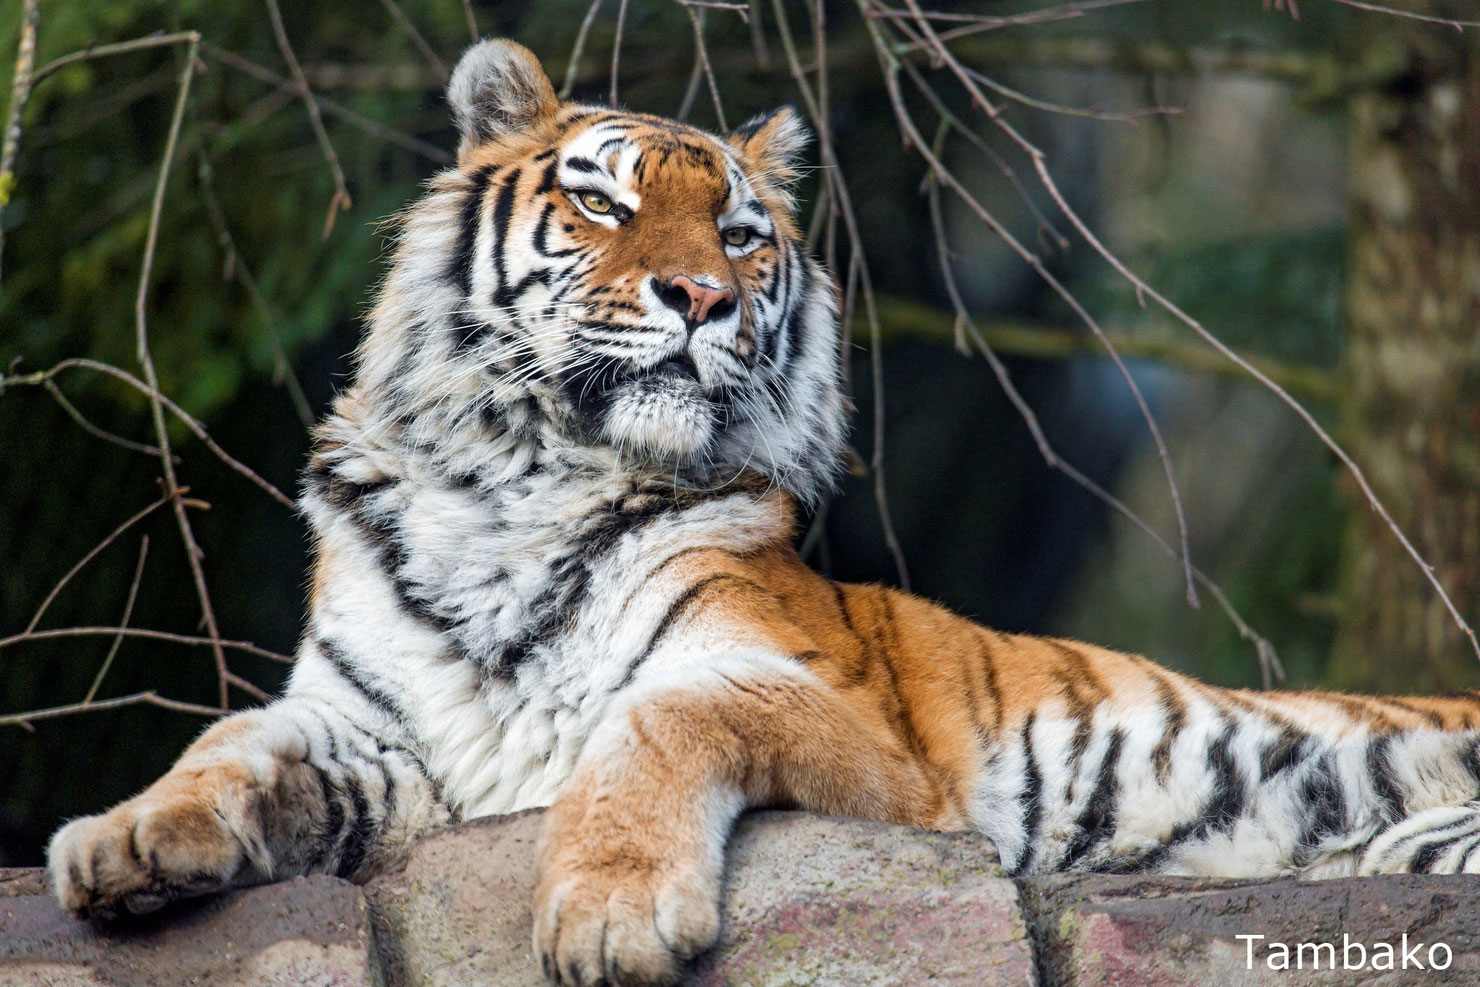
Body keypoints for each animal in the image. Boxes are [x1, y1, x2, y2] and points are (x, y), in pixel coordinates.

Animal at [46, 37, 1480, 987]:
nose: (701, 297)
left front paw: (611, 913)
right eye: (603, 201)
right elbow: (231, 739)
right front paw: (122, 842)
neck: (518, 483)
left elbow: (653, 718)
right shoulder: (377, 734)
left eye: (739, 234)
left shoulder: (842, 721)